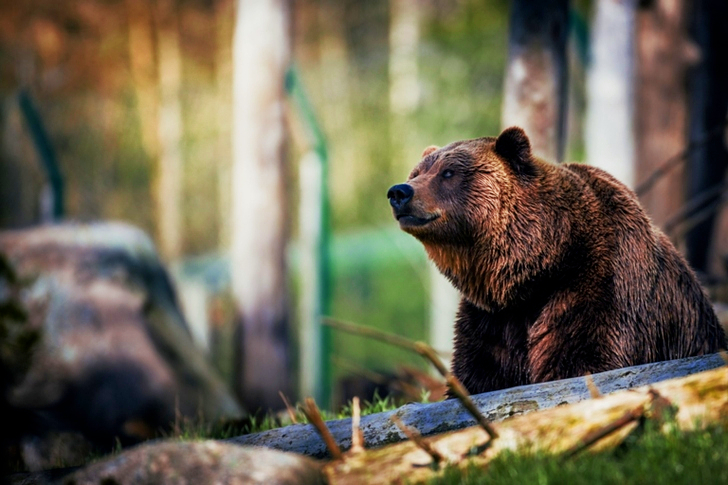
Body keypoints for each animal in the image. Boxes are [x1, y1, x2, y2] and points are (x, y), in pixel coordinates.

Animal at [387, 126, 727, 395]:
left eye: (448, 173)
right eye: (417, 173)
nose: (399, 191)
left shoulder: (599, 285)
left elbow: (582, 359)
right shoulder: (492, 318)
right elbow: (479, 373)